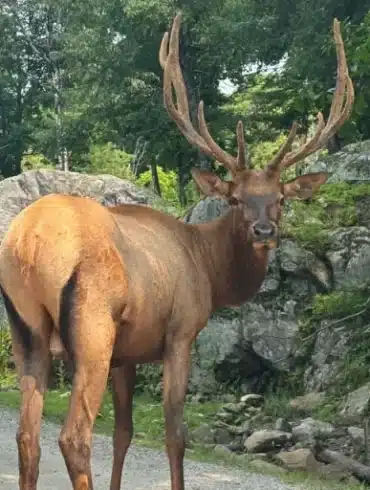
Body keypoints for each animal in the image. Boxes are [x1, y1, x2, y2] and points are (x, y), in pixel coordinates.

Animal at [0, 10, 354, 490]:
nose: (263, 230)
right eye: (236, 198)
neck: (209, 269)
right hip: (93, 326)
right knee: (73, 436)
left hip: (27, 330)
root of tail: (29, 242)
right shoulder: (181, 332)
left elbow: (124, 432)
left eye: (280, 198)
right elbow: (174, 433)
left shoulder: (127, 353)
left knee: (27, 436)